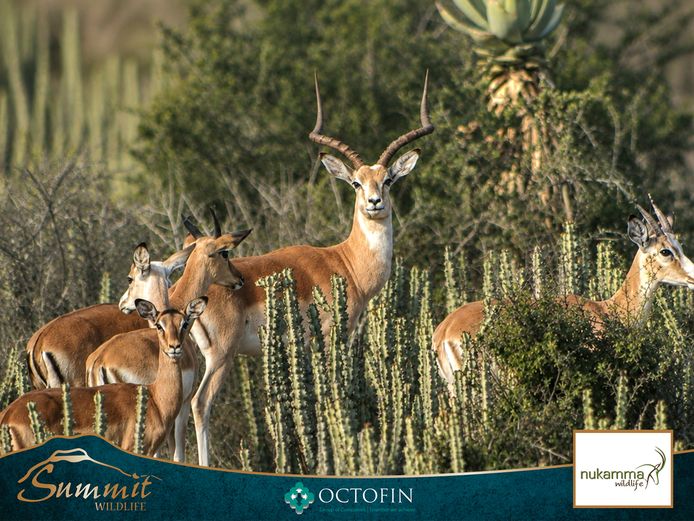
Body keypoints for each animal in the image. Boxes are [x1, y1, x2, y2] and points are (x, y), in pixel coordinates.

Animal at [185, 73, 434, 465]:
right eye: (356, 182)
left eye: (388, 180)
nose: (374, 203)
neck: (346, 261)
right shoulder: (332, 335)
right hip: (220, 357)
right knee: (199, 404)